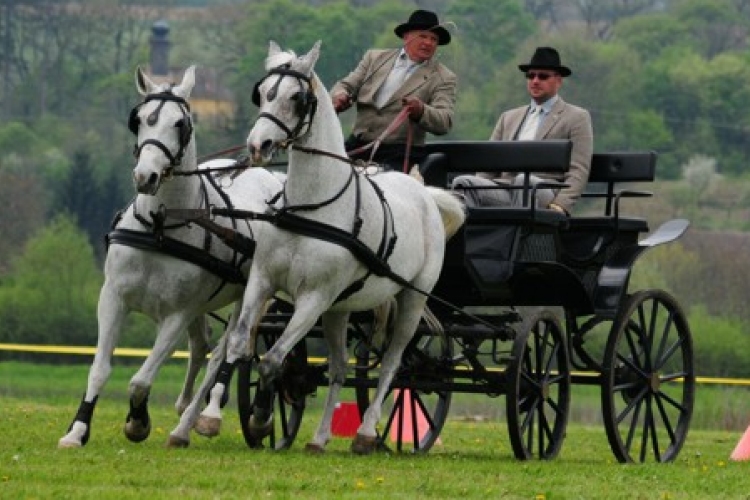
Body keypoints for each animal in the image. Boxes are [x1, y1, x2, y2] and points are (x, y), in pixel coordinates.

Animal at [58, 64, 284, 448]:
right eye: (138, 120)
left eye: (181, 123)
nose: (145, 176)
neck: (159, 227)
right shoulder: (113, 298)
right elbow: (100, 369)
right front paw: (77, 430)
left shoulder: (178, 314)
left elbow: (141, 380)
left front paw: (137, 422)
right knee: (202, 345)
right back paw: (184, 412)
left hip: (252, 295)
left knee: (227, 352)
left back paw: (205, 419)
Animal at [167, 40, 468, 454]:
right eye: (262, 92)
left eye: (297, 97)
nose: (258, 145)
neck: (309, 208)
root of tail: (424, 192)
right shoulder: (263, 282)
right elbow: (240, 347)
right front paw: (218, 418)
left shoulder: (314, 298)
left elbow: (272, 359)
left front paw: (261, 417)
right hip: (342, 308)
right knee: (341, 368)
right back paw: (320, 438)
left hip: (410, 299)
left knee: (394, 365)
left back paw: (365, 433)